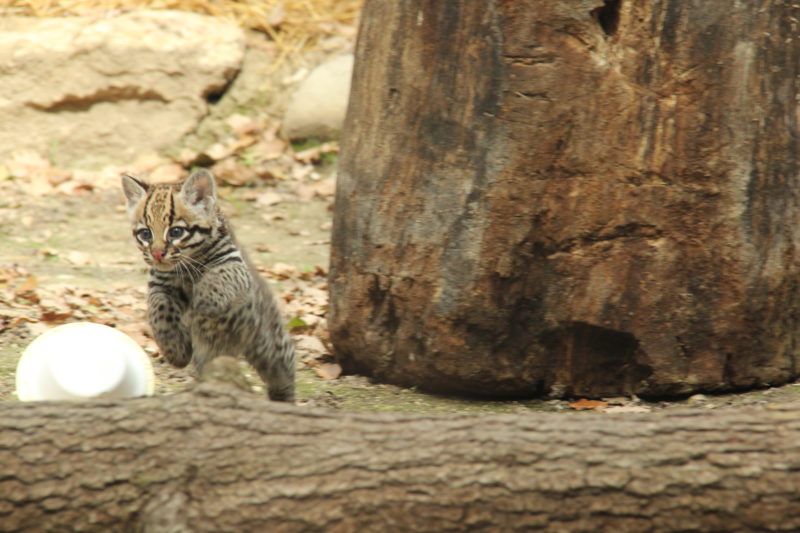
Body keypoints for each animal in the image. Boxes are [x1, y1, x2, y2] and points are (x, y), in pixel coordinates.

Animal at [123, 168, 298, 402]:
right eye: (146, 234)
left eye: (176, 232)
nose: (157, 254)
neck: (187, 265)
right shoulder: (158, 284)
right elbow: (158, 309)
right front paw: (175, 350)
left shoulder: (234, 265)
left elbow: (218, 276)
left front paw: (203, 301)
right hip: (208, 356)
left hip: (270, 342)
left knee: (283, 367)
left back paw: (284, 399)